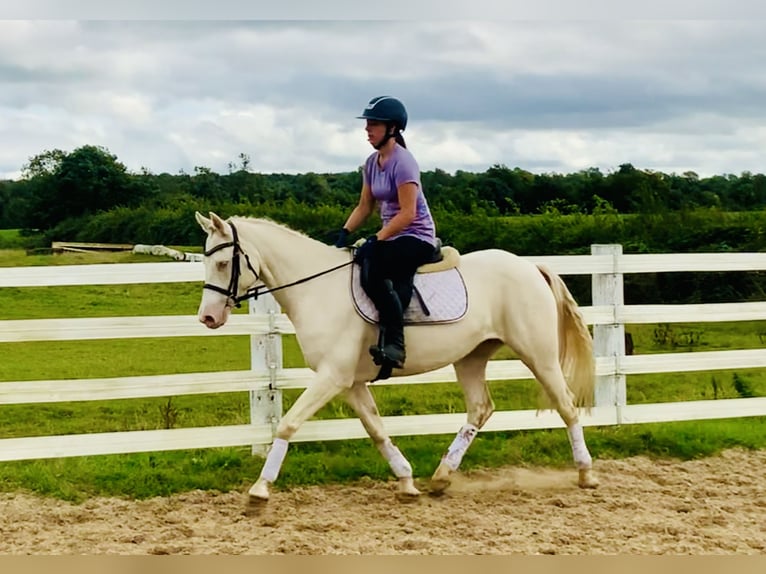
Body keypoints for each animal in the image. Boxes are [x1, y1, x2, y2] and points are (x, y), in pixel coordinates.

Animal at [196, 213, 600, 508]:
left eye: (223, 263)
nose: (208, 318)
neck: (317, 289)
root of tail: (530, 267)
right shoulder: (351, 382)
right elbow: (376, 429)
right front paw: (406, 481)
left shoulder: (332, 377)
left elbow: (288, 424)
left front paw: (260, 489)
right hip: (471, 357)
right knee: (481, 409)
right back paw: (441, 477)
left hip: (539, 355)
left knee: (566, 406)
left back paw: (586, 474)